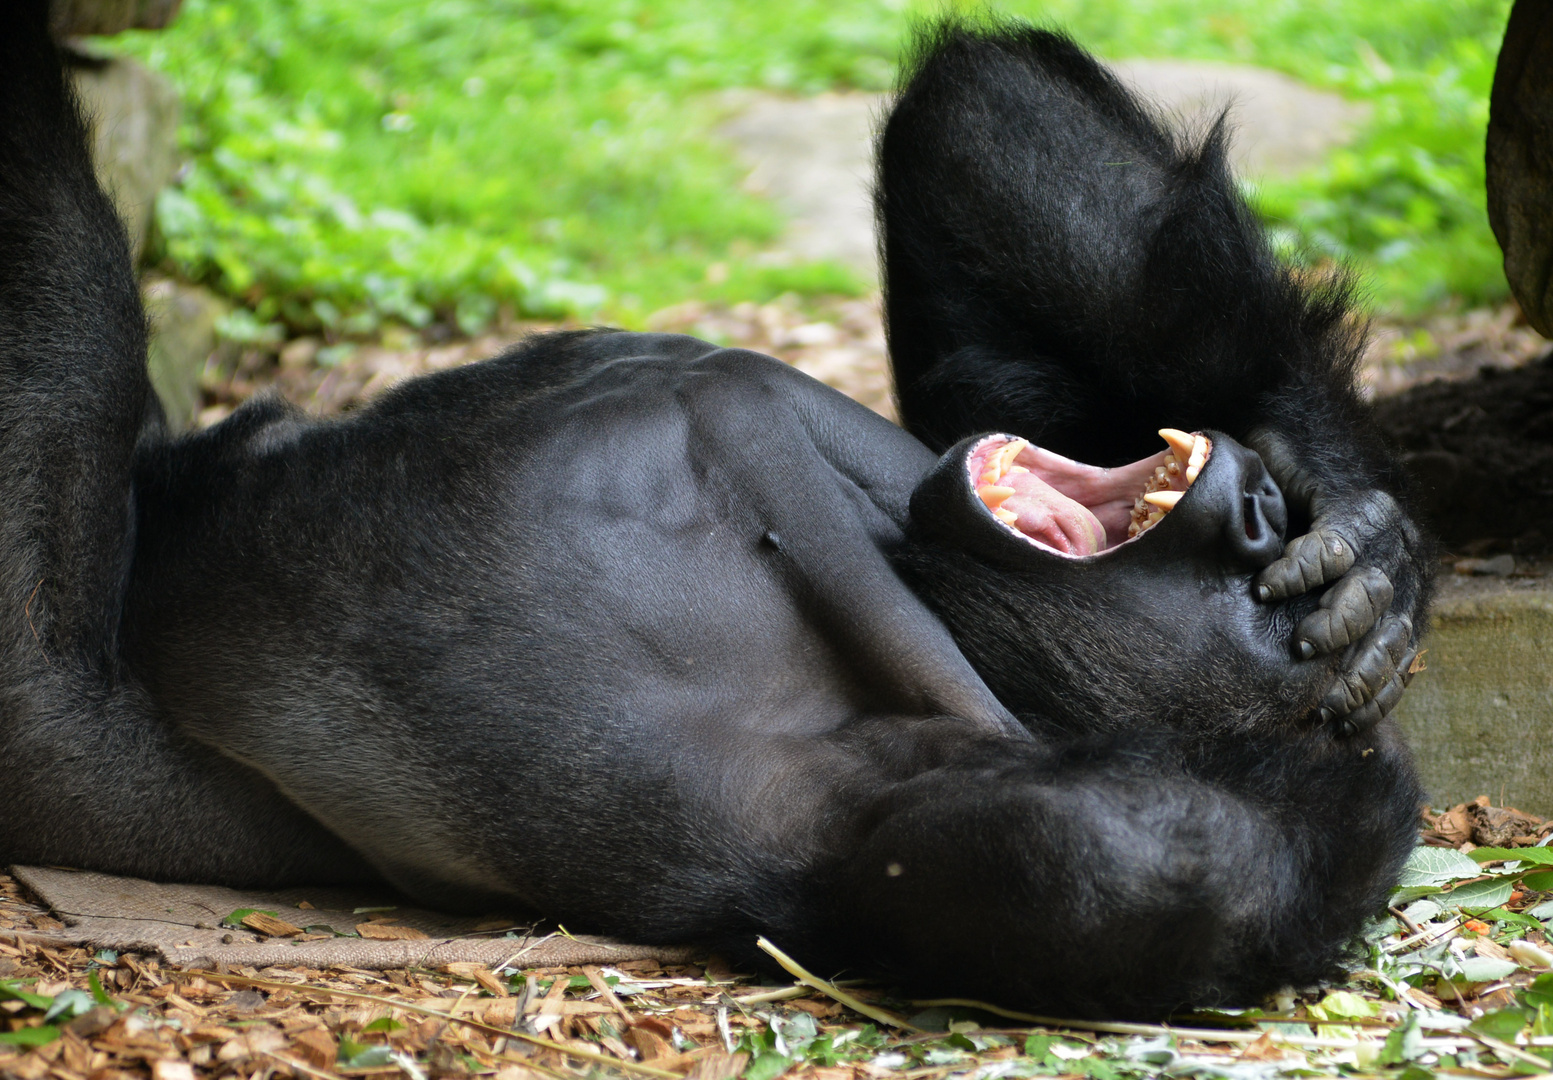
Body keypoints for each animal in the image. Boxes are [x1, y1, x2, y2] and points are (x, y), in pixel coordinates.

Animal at [0, 8, 1428, 1019]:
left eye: (1244, 608)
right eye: (1248, 570)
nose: (1257, 511)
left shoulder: (850, 791)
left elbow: (1129, 864)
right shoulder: (883, 453)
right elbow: (972, 223)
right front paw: (1348, 528)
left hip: (70, 740)